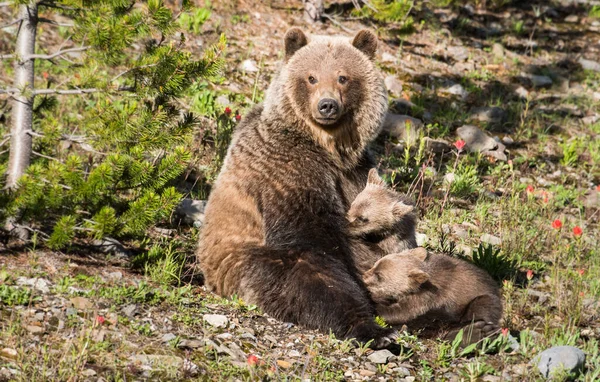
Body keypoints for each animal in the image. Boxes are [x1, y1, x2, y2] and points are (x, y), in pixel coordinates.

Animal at [196, 28, 394, 348]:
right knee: (307, 280)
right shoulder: (288, 169)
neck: (328, 148)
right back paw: (373, 329)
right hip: (246, 262)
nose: (327, 105)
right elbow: (312, 238)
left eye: (343, 77)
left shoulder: (356, 173)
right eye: (311, 77)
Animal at [364, 248, 504, 340]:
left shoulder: (428, 299)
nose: (364, 275)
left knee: (483, 308)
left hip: (481, 299)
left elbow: (401, 313)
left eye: (379, 275)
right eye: (375, 264)